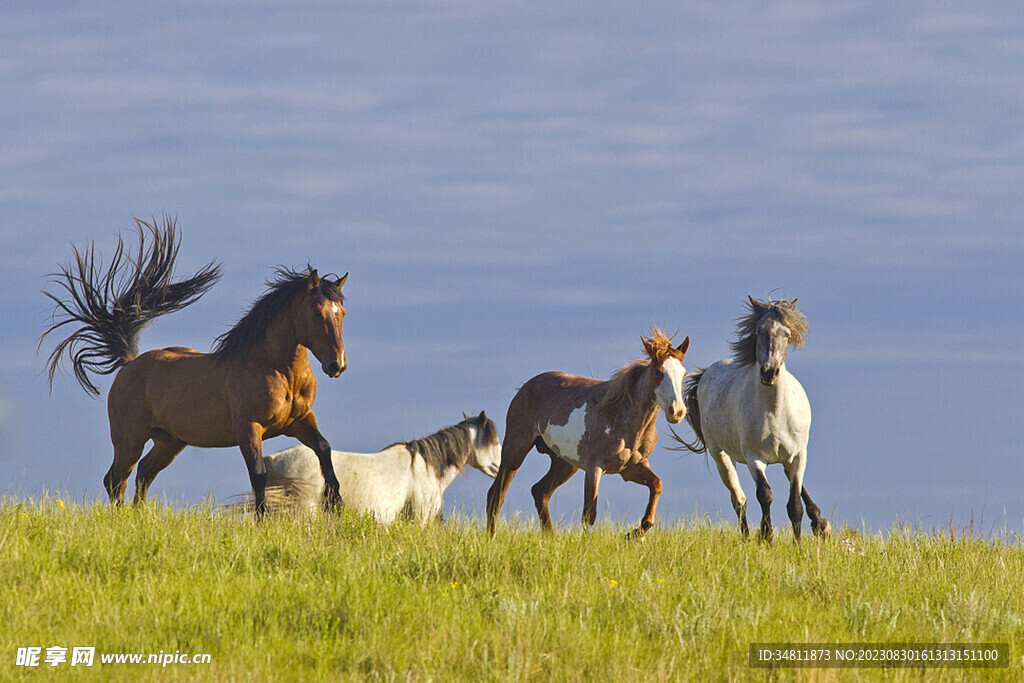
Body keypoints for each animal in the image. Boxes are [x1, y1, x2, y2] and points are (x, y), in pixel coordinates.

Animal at [39, 216, 349, 516]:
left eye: (341, 312)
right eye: (316, 312)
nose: (337, 365)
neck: (279, 372)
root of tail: (130, 363)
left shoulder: (300, 421)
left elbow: (324, 450)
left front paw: (337, 508)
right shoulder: (250, 429)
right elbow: (258, 474)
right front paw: (262, 520)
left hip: (169, 441)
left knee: (143, 473)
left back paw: (138, 517)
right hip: (130, 439)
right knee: (116, 479)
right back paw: (121, 520)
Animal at [486, 329, 690, 538]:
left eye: (683, 373)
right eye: (658, 371)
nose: (677, 411)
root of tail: (525, 387)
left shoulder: (631, 468)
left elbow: (656, 486)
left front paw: (633, 533)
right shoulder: (595, 467)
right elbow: (589, 514)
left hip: (564, 463)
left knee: (540, 491)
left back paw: (551, 537)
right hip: (515, 450)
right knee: (496, 494)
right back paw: (491, 537)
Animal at [671, 296, 830, 542]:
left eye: (786, 334)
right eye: (759, 331)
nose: (769, 372)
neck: (775, 411)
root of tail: (707, 373)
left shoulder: (798, 455)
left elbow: (794, 503)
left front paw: (798, 543)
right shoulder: (754, 458)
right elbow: (765, 494)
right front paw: (767, 536)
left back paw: (820, 524)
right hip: (721, 456)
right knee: (739, 499)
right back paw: (745, 536)